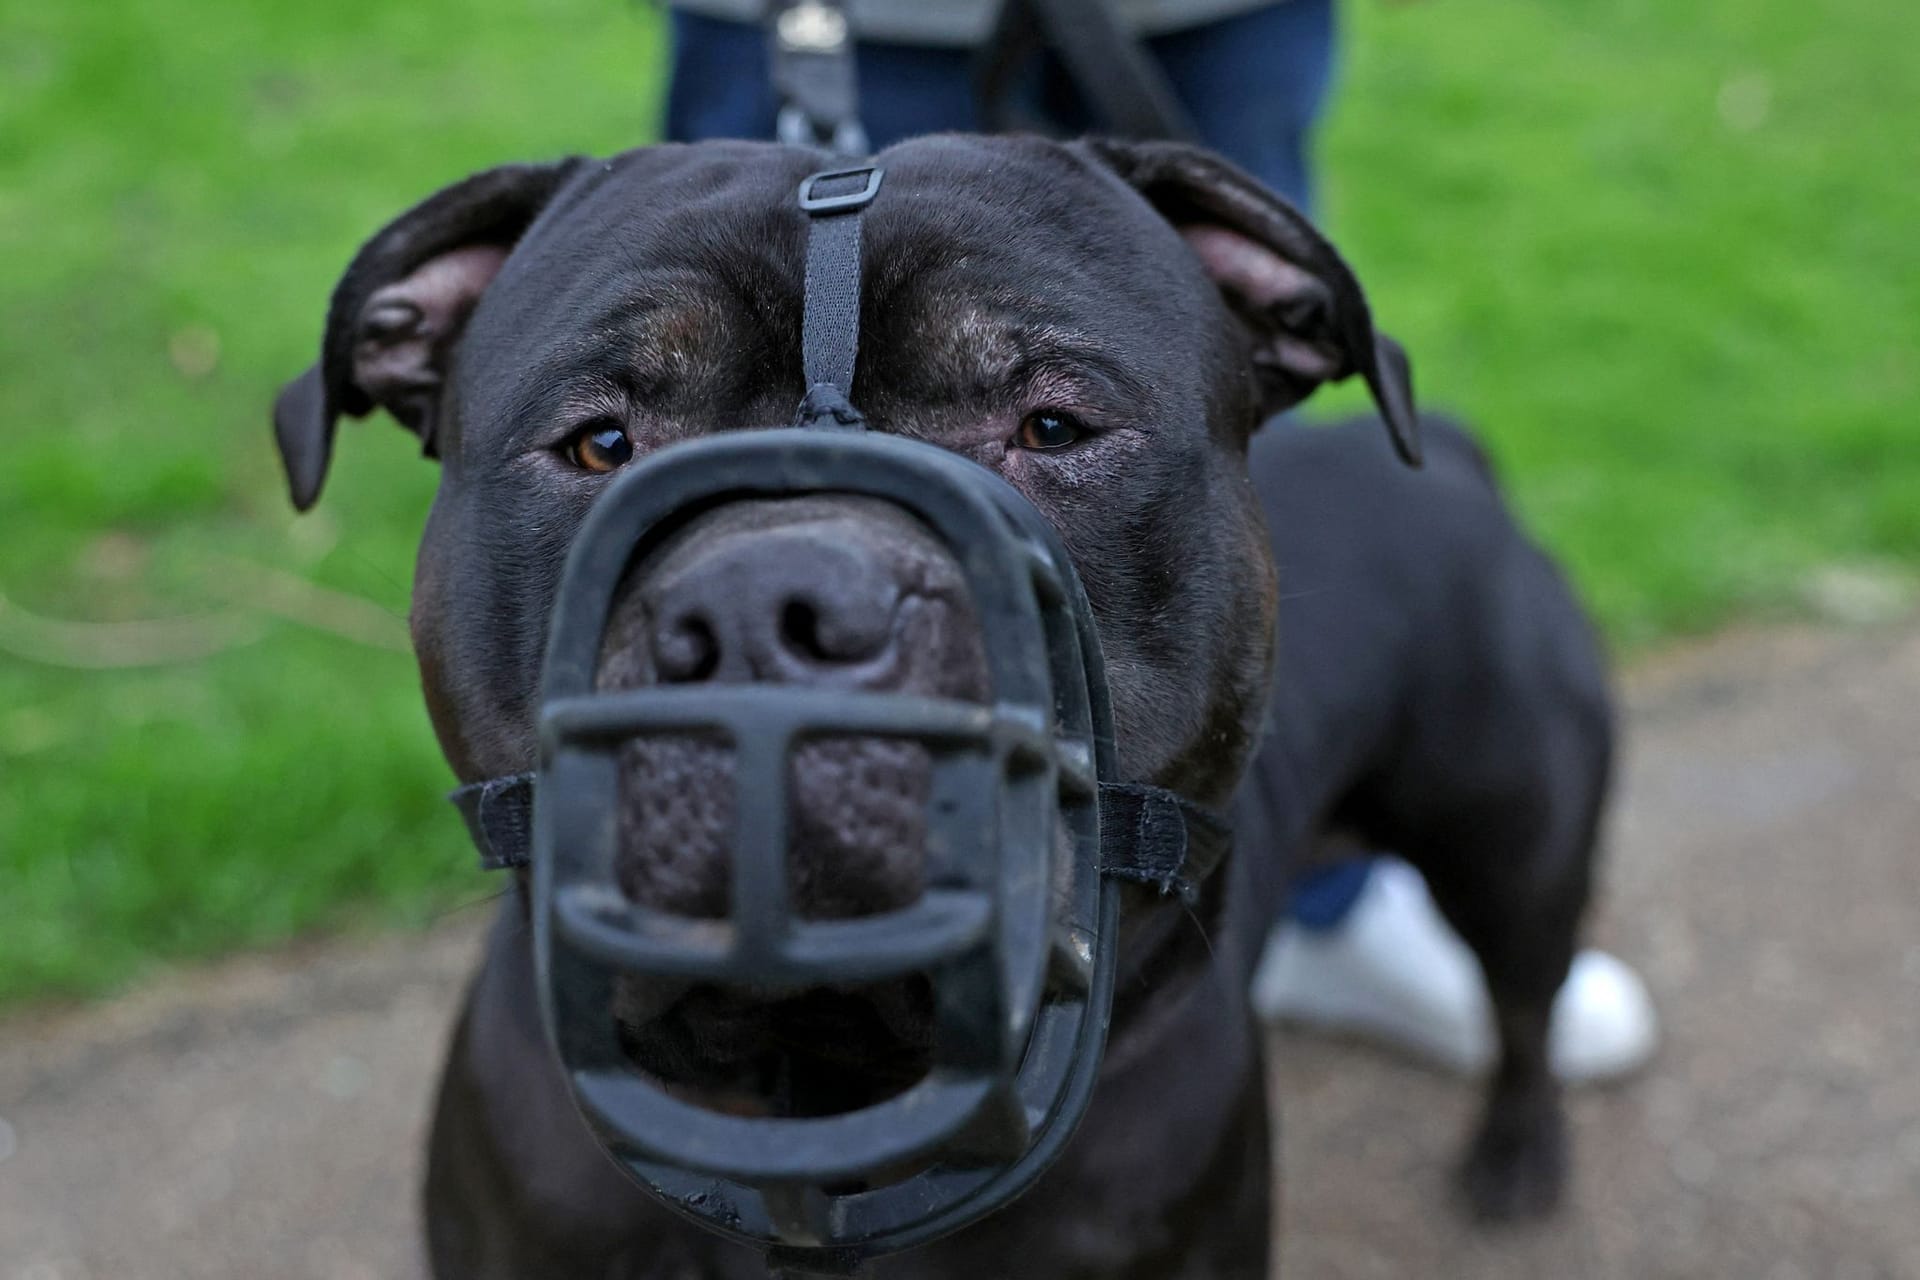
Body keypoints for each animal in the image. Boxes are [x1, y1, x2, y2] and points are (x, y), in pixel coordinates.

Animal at [274, 135, 1605, 1274]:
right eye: (600, 441)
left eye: (1053, 424)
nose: (772, 604)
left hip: (1518, 850)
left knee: (1525, 1005)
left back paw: (1517, 1158)